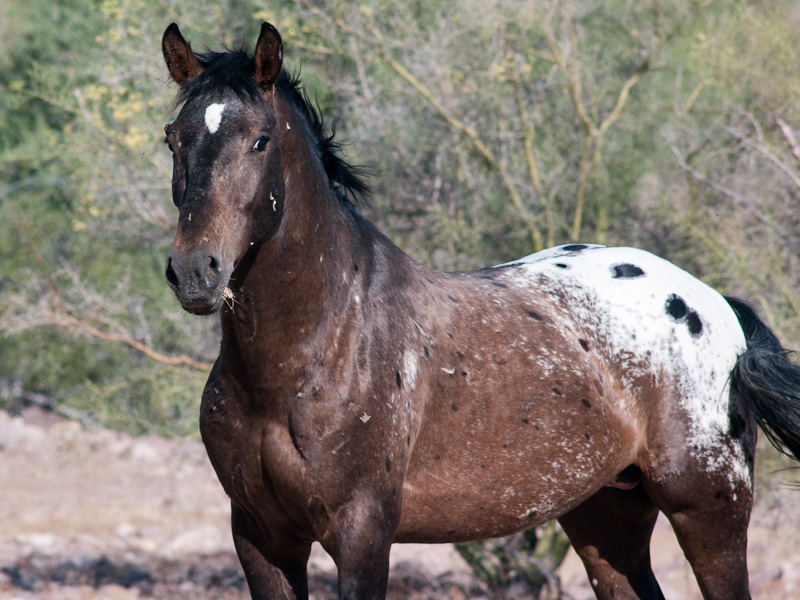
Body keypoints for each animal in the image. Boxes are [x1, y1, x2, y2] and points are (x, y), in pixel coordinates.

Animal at [159, 23, 800, 600]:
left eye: (260, 139)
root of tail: (715, 306)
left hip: (708, 509)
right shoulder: (262, 539)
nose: (194, 271)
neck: (313, 350)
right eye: (173, 138)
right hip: (604, 517)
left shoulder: (362, 535)